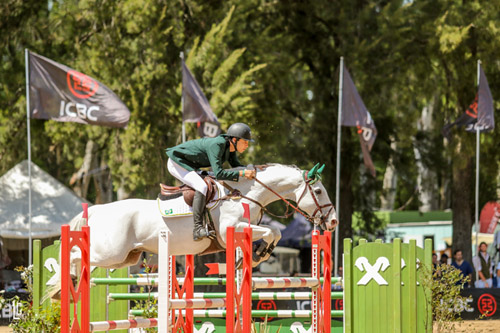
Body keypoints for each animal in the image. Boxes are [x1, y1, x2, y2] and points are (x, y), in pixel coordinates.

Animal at [64, 163, 336, 274]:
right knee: (76, 255)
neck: (245, 193)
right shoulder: (230, 230)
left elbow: (275, 233)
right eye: (319, 191)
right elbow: (272, 232)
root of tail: (99, 209)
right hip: (111, 253)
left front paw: (259, 254)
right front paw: (260, 254)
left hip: (125, 258)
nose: (333, 222)